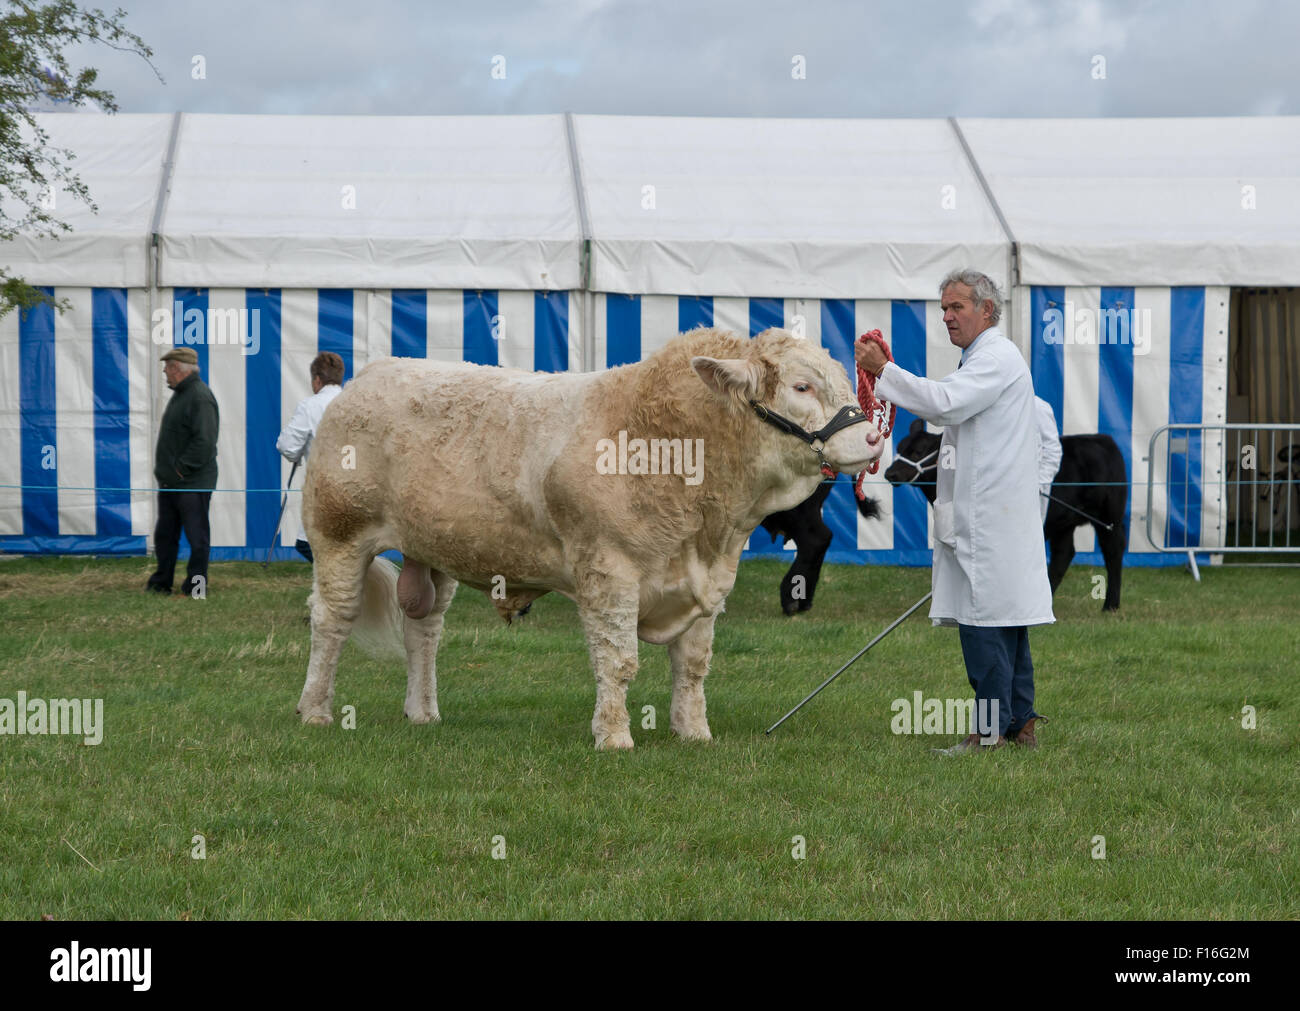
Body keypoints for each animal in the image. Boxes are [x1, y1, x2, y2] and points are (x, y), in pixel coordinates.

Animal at [294, 327, 885, 749]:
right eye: (802, 387)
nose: (874, 438)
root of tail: (373, 375)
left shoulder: (710, 580)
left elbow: (693, 665)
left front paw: (694, 733)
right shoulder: (609, 569)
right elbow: (618, 660)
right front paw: (615, 736)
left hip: (432, 550)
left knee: (425, 628)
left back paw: (423, 712)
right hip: (339, 534)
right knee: (332, 621)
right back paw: (315, 710)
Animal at [884, 419, 1128, 611]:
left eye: (918, 451)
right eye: (900, 447)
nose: (890, 473)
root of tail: (1102, 439)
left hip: (1109, 515)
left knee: (1113, 551)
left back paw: (1110, 605)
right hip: (1065, 522)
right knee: (1064, 554)